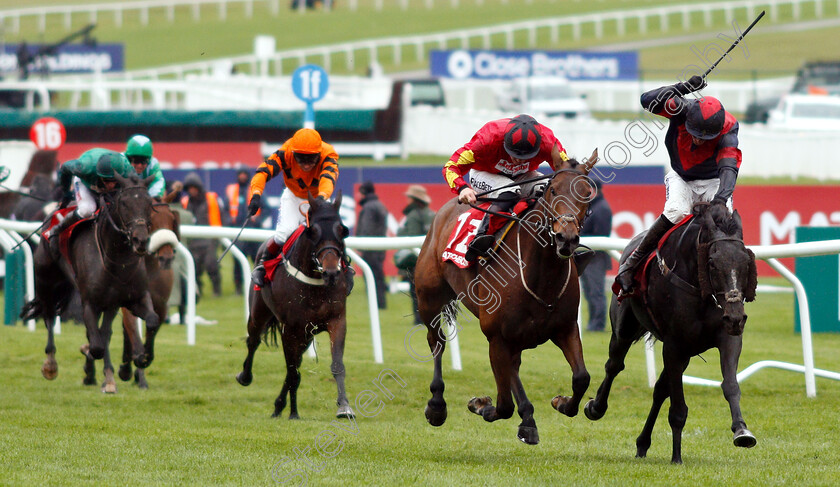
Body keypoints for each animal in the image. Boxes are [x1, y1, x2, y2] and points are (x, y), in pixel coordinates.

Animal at [20, 173, 159, 394]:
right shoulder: (89, 303)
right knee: (49, 316)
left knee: (105, 331)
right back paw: (50, 364)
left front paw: (143, 357)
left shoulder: (132, 298)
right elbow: (96, 346)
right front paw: (90, 359)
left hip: (109, 304)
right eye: (124, 203)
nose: (141, 241)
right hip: (46, 281)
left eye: (149, 203)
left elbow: (152, 321)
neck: (117, 260)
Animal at [236, 193, 354, 420]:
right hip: (259, 312)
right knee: (253, 341)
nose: (331, 273)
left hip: (306, 335)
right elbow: (292, 372)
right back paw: (245, 376)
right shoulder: (290, 328)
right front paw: (292, 412)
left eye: (341, 230)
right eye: (313, 231)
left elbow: (337, 365)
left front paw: (344, 406)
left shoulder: (336, 321)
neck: (315, 282)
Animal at [414, 152, 596, 446]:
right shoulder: (498, 336)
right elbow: (507, 405)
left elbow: (581, 377)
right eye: (553, 190)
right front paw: (520, 420)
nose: (566, 238)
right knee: (436, 342)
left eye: (587, 194)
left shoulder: (565, 328)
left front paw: (563, 402)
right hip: (429, 299)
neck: (540, 275)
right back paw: (436, 406)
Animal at [584, 203, 760, 466]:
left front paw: (741, 430)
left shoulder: (726, 338)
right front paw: (676, 456)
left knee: (659, 390)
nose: (736, 317)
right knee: (614, 365)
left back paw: (642, 443)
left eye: (746, 262)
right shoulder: (674, 345)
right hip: (624, 329)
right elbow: (678, 409)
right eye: (712, 262)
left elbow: (730, 385)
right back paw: (595, 407)